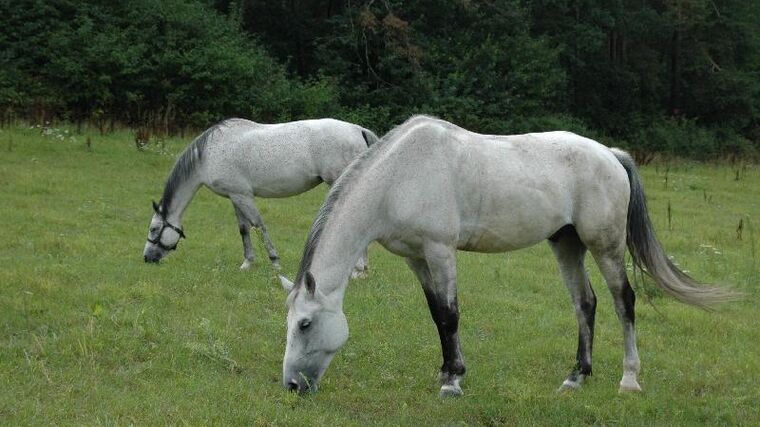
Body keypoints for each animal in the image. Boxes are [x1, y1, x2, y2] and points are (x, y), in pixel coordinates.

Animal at [142, 118, 378, 276]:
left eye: (153, 229)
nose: (147, 258)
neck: (208, 156)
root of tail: (358, 130)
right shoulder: (236, 196)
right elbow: (244, 229)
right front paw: (247, 263)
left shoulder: (243, 196)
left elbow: (259, 226)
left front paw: (275, 262)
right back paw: (362, 269)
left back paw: (357, 270)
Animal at [278, 115, 732, 396]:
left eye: (304, 324)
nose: (292, 386)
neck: (402, 175)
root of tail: (610, 154)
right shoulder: (416, 258)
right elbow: (436, 315)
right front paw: (445, 370)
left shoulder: (440, 252)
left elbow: (450, 314)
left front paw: (453, 381)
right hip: (566, 244)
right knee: (585, 304)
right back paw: (576, 377)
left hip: (604, 246)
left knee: (625, 302)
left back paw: (629, 379)